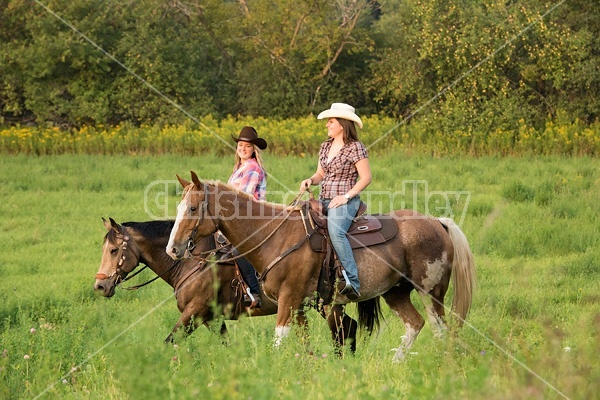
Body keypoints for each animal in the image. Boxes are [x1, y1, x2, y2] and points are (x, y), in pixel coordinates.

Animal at [166, 172, 476, 362]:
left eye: (192, 209)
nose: (173, 249)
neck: (275, 236)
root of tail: (438, 222)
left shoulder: (289, 300)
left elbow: (280, 340)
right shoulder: (299, 305)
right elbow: (304, 343)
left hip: (431, 292)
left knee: (441, 330)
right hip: (395, 292)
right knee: (416, 324)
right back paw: (395, 362)